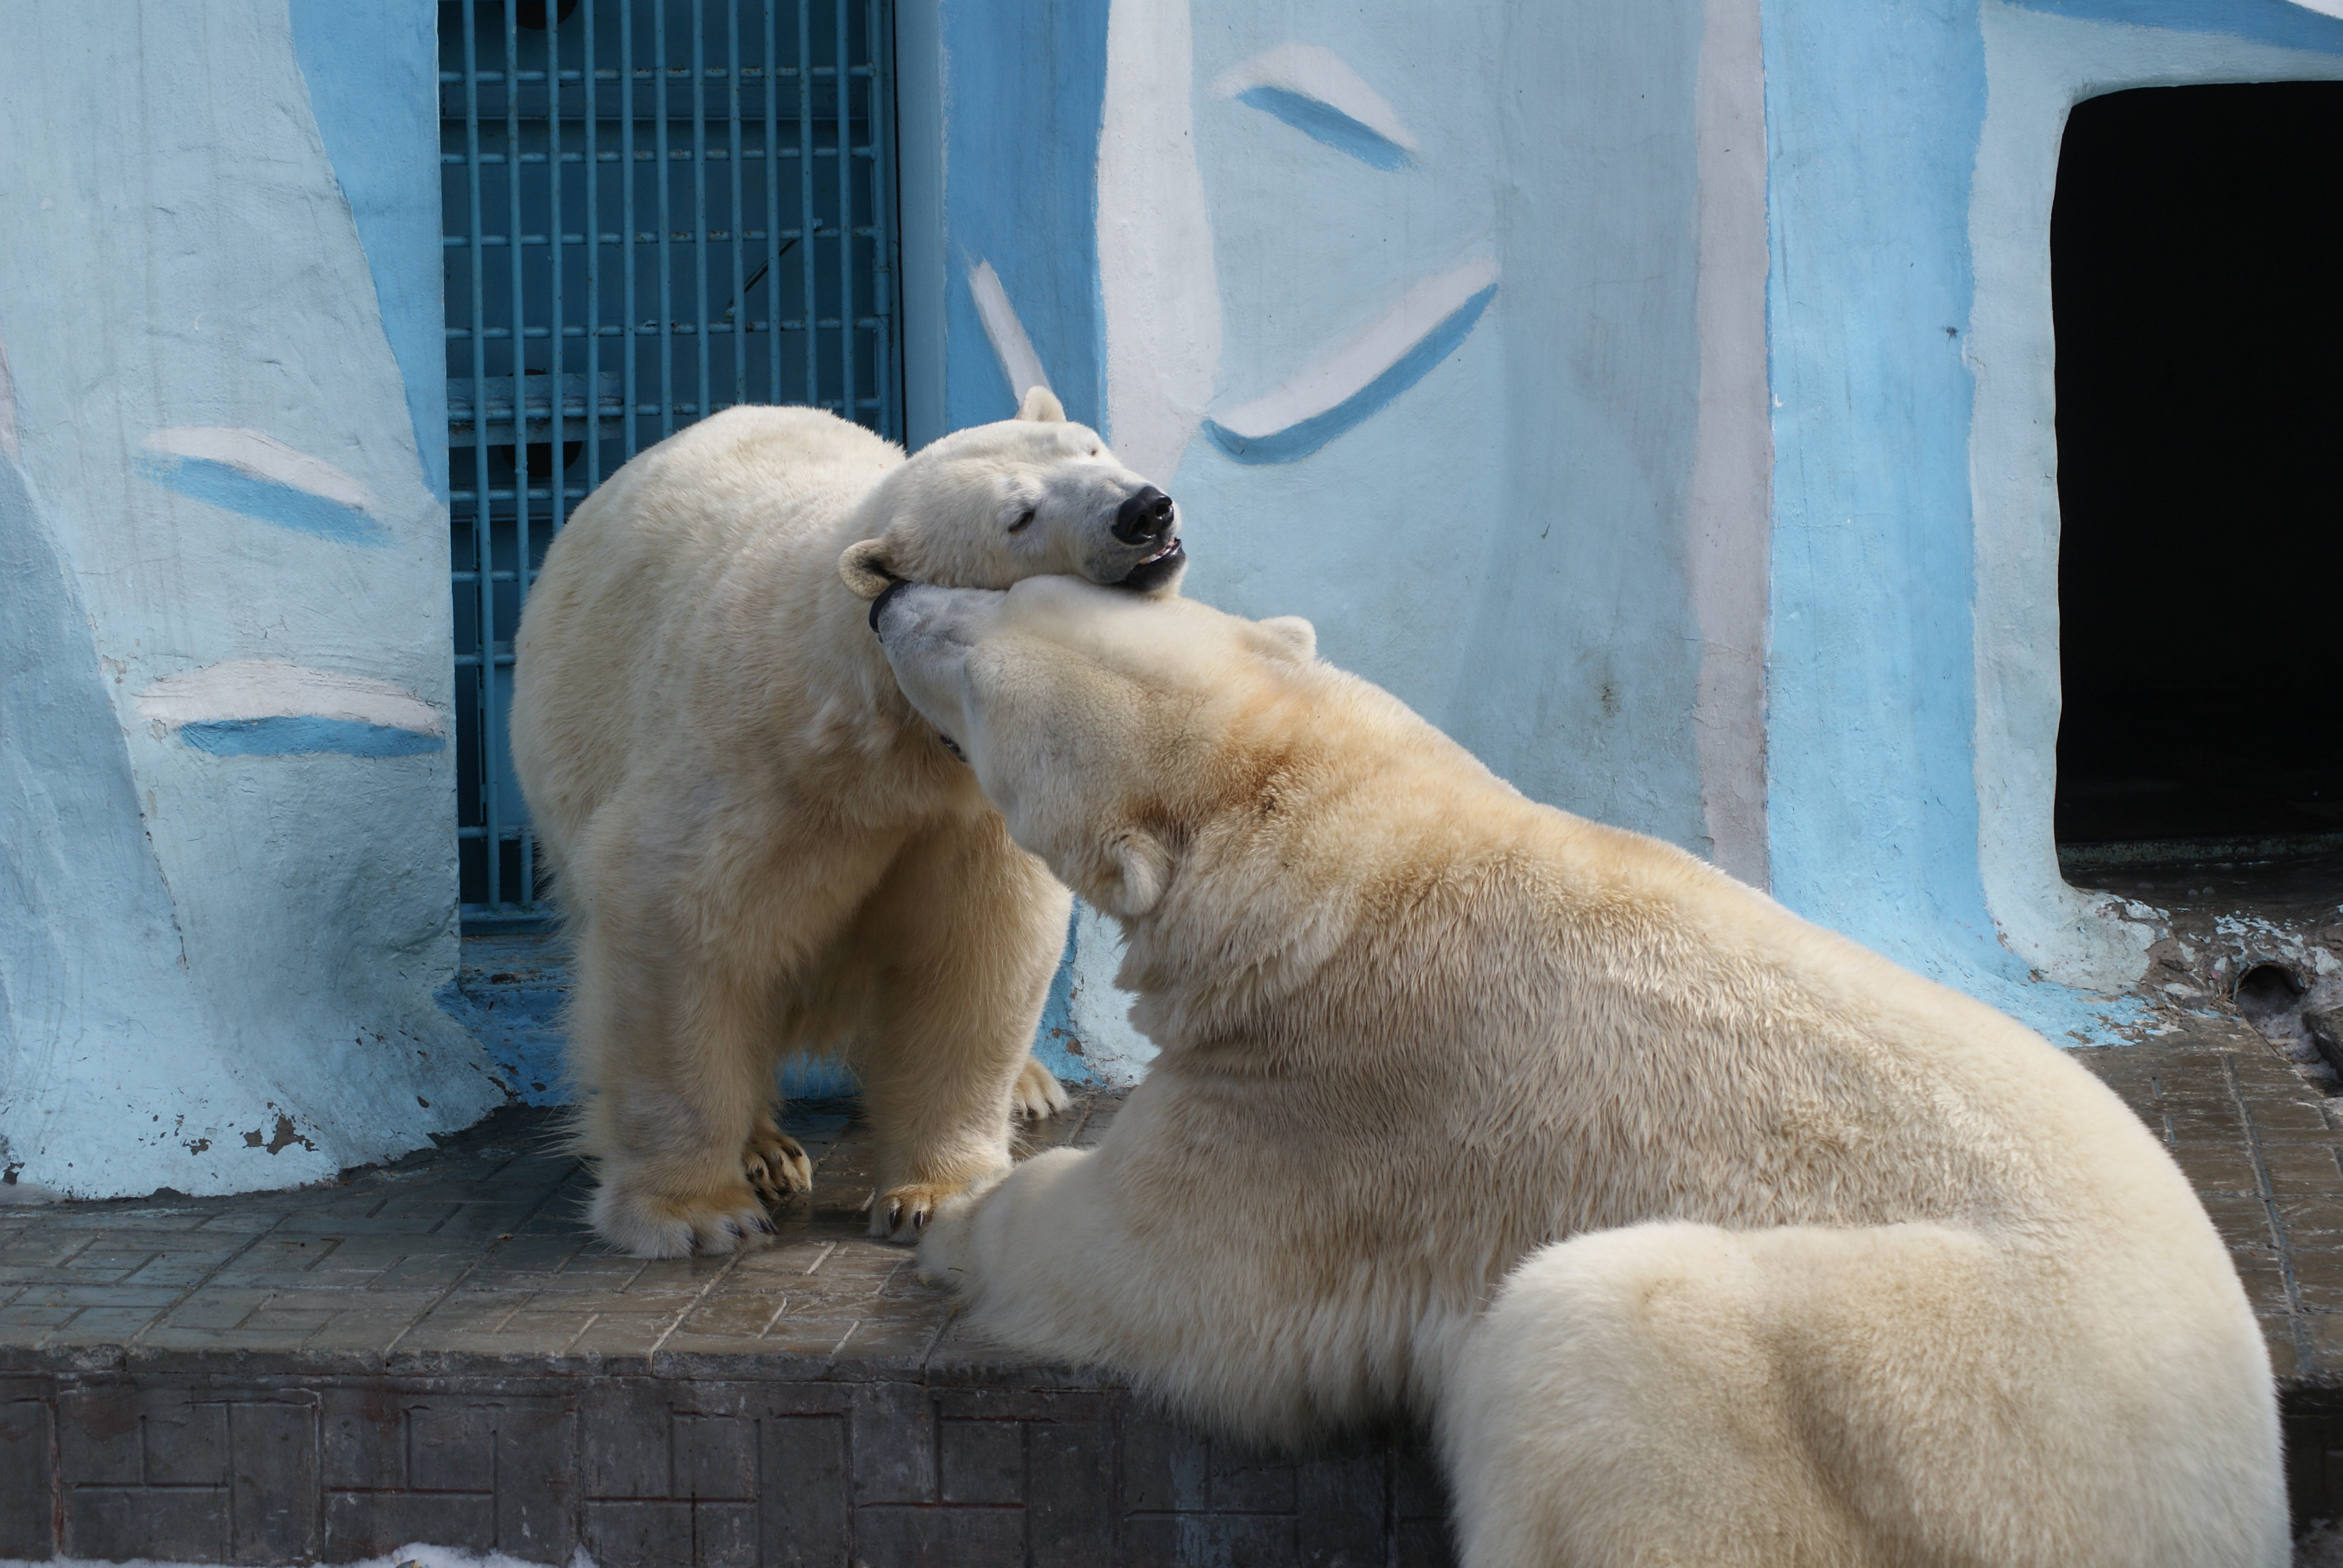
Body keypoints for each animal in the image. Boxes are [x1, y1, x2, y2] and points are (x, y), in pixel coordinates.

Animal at [522, 393, 1199, 1256]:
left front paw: (936, 1196)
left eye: (1087, 448)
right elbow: (677, 934)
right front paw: (697, 1213)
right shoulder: (751, 778)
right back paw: (765, 1151)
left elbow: (974, 954)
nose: (1144, 511)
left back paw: (1029, 1087)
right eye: (1018, 516)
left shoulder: (964, 815)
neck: (884, 741)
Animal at [871, 578, 2277, 1566]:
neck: (1339, 850)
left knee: (1600, 1338)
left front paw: (949, 1217)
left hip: (1912, 1401)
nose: (887, 600)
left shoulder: (1327, 1105)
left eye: (977, 681)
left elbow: (1158, 1265)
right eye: (1014, 590)